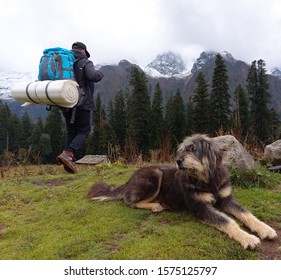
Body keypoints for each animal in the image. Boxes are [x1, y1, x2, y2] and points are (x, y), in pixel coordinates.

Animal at [88, 134, 276, 249]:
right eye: (182, 149)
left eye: (192, 149)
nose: (177, 161)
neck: (207, 181)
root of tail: (128, 181)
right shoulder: (201, 207)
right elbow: (228, 221)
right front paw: (248, 238)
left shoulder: (226, 199)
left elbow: (246, 214)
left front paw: (264, 228)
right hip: (155, 174)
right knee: (131, 202)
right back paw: (156, 205)